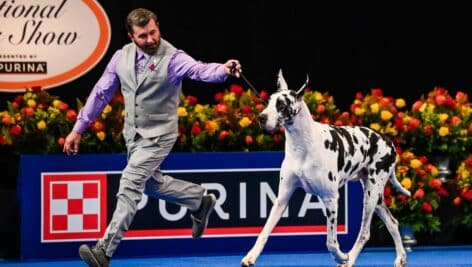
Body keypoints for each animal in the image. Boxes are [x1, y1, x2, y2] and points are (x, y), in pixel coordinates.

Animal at [242, 70, 412, 266]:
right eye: (269, 102)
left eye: (282, 105)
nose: (261, 118)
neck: (302, 146)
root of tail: (388, 140)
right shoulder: (282, 199)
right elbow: (264, 231)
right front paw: (251, 256)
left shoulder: (330, 199)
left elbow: (331, 242)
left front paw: (341, 255)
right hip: (376, 198)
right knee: (392, 223)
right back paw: (400, 257)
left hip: (370, 196)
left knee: (364, 233)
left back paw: (348, 260)